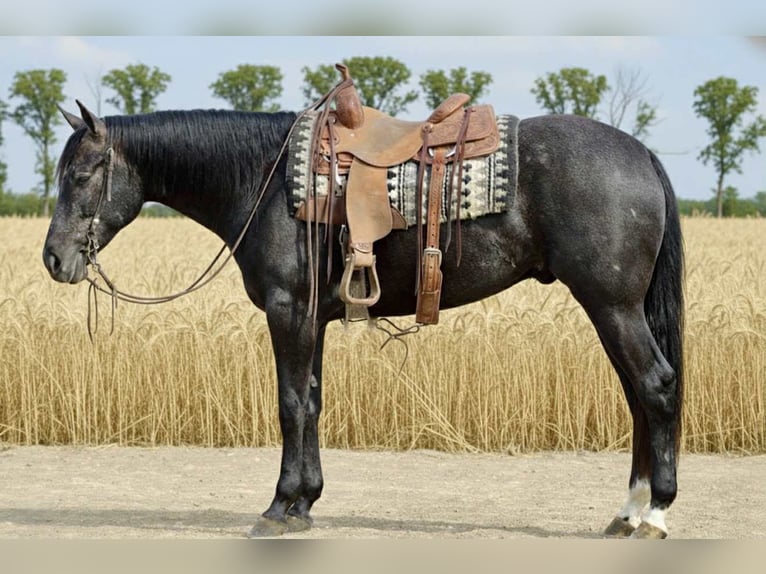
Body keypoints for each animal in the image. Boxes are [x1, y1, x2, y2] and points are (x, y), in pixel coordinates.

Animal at [42, 99, 684, 539]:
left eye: (80, 176)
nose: (53, 258)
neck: (263, 181)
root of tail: (641, 153)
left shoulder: (288, 312)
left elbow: (290, 404)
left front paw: (278, 507)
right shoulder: (313, 319)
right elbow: (312, 402)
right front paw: (305, 502)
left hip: (612, 306)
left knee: (655, 387)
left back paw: (654, 512)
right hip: (613, 310)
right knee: (637, 395)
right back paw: (628, 512)